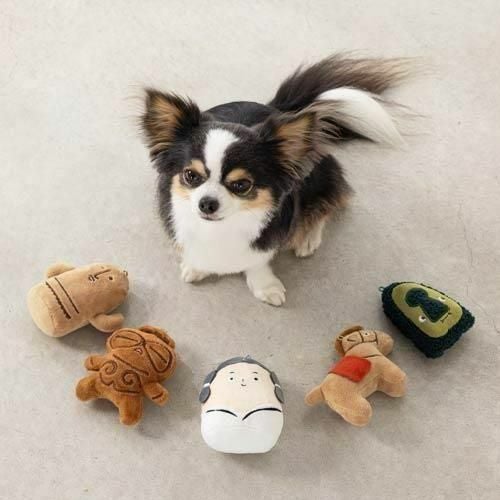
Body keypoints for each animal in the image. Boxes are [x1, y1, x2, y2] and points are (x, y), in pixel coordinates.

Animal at [141, 54, 410, 306]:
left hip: (320, 179)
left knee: (328, 204)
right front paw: (197, 265)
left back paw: (308, 238)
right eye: (191, 176)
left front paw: (265, 286)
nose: (206, 203)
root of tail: (282, 110)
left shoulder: (267, 241)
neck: (222, 228)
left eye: (241, 185)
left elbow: (257, 262)